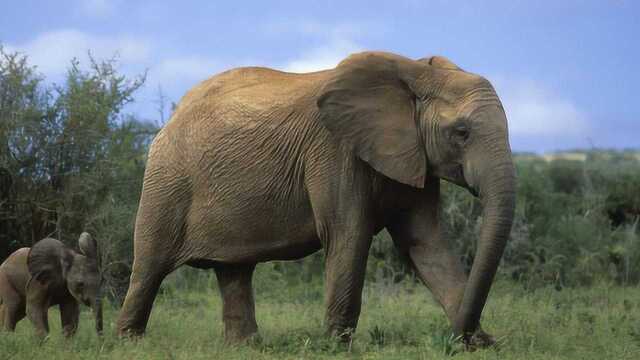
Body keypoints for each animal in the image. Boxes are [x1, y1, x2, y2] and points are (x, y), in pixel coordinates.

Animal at [116, 50, 516, 346]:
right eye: (461, 133)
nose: (460, 336)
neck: (415, 73)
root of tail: (171, 118)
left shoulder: (414, 157)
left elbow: (425, 243)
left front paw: (480, 346)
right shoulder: (334, 151)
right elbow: (348, 236)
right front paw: (335, 347)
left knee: (234, 270)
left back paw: (246, 347)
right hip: (166, 180)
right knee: (149, 267)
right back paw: (130, 343)